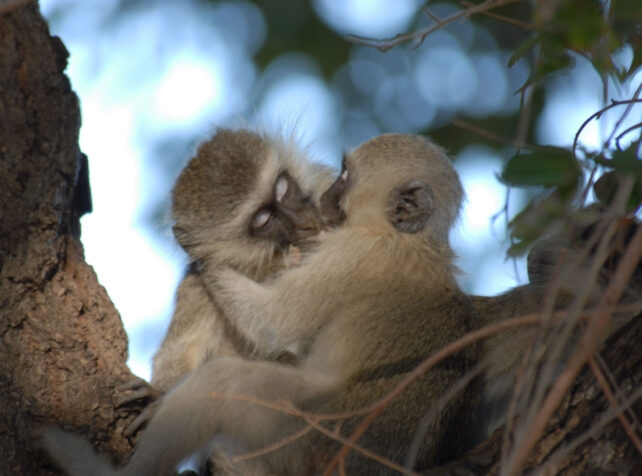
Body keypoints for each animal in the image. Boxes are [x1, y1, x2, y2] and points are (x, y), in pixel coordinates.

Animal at [42, 133, 480, 475]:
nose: (319, 206)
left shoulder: (353, 253)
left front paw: (206, 256)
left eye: (345, 178)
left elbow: (272, 323)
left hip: (302, 433)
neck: (414, 241)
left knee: (223, 383)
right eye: (264, 218)